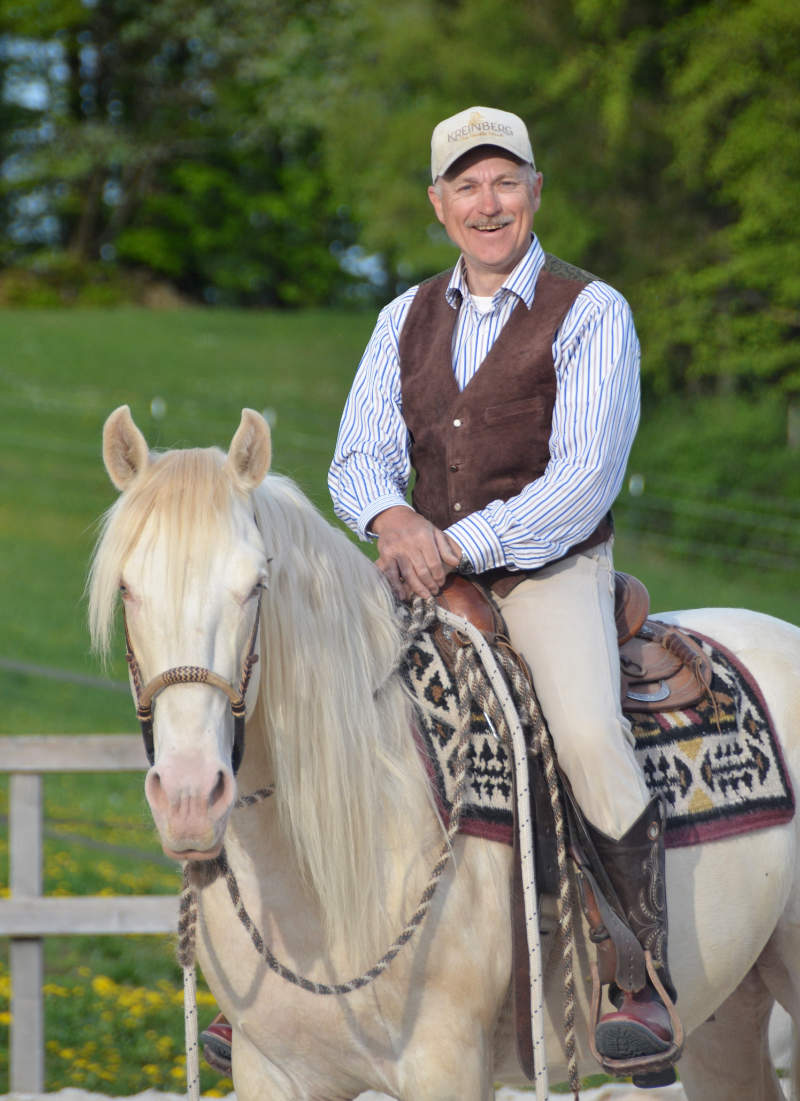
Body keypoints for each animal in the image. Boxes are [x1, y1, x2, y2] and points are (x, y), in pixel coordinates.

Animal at [89, 407, 800, 1101]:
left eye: (254, 585)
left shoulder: (445, 1062)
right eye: (127, 589)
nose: (188, 796)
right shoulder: (273, 1072)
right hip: (725, 1014)